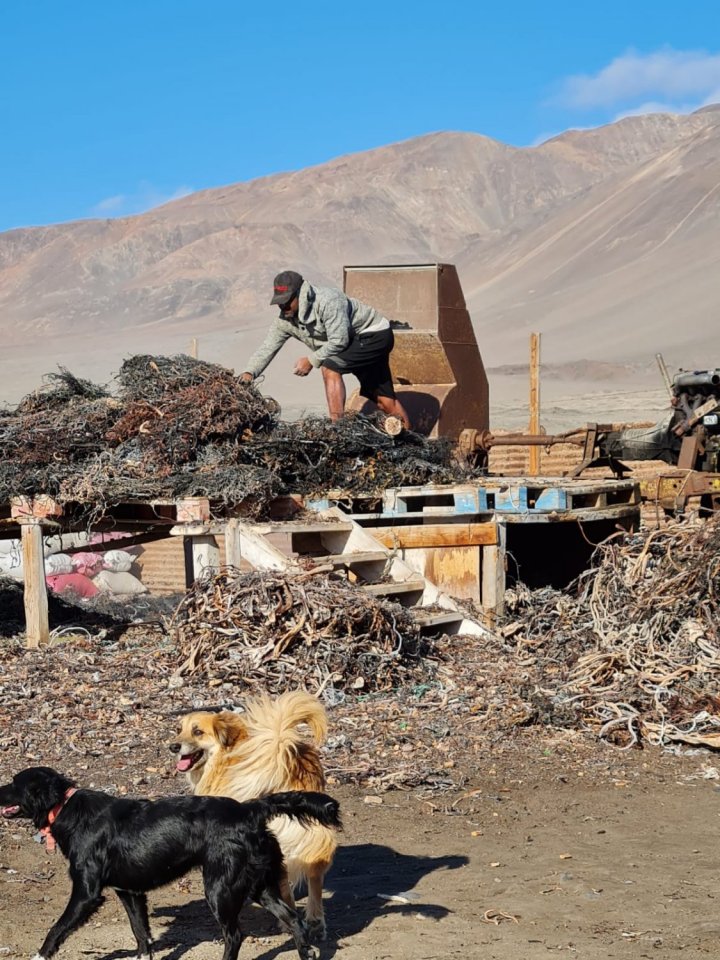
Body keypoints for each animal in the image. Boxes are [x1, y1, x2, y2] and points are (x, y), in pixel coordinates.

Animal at [0, 768, 344, 960]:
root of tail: (250, 809)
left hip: (221, 888)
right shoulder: (130, 892)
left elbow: (57, 929)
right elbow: (141, 934)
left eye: (14, 783)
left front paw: (39, 955)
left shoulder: (86, 894)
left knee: (235, 935)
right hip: (259, 885)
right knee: (295, 921)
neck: (65, 807)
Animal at [170, 692, 336, 932]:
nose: (173, 747)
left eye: (197, 731)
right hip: (310, 831)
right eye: (179, 729)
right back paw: (314, 919)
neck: (226, 752)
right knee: (313, 872)